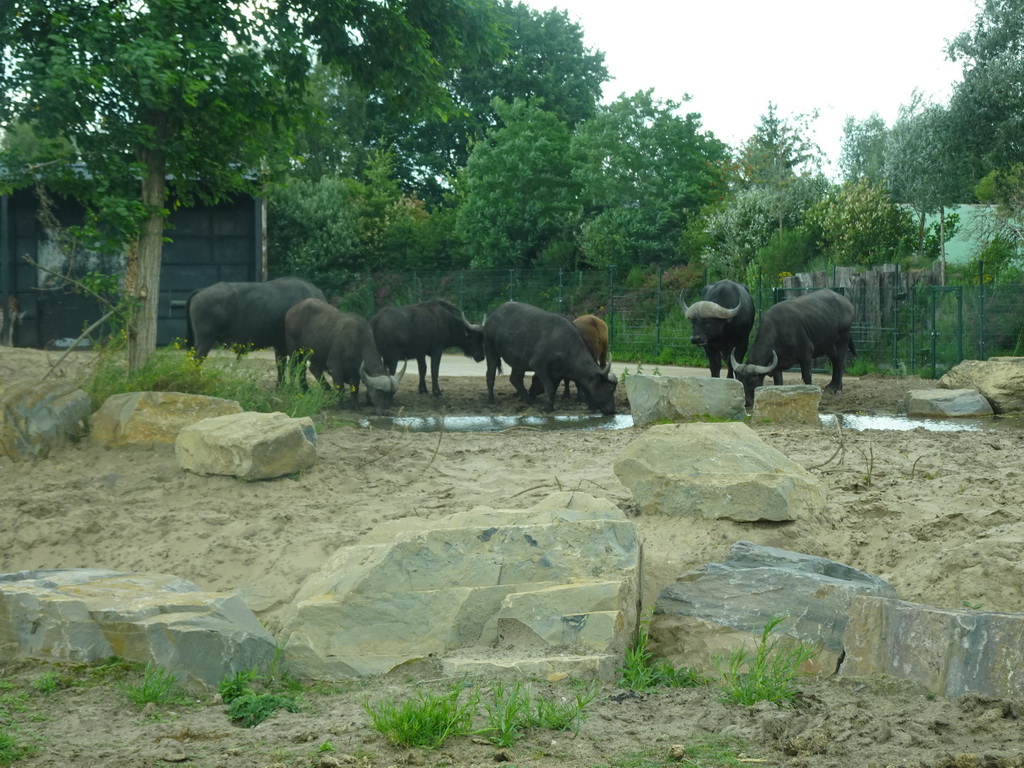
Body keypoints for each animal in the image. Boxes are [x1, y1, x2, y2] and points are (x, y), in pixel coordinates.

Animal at [481, 303, 614, 417]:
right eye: (609, 389)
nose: (612, 410)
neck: (566, 347)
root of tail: (492, 315)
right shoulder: (539, 366)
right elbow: (549, 387)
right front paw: (547, 408)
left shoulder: (558, 373)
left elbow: (554, 388)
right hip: (490, 350)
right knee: (490, 375)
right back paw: (491, 401)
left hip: (518, 361)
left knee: (515, 379)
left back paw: (529, 400)